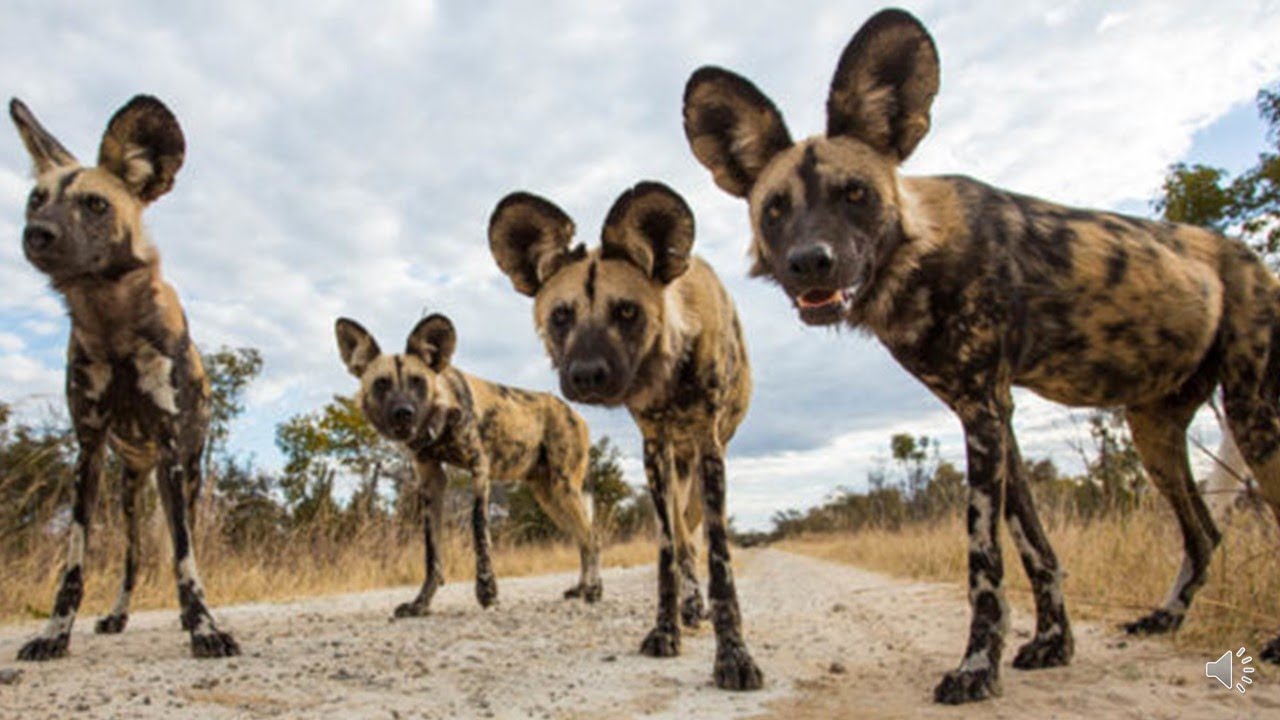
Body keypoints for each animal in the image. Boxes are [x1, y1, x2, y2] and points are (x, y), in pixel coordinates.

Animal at [11, 98, 240, 661]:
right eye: (36, 199)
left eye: (96, 205)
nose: (37, 234)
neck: (111, 321)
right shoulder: (89, 449)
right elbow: (75, 564)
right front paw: (54, 634)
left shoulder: (172, 448)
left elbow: (185, 558)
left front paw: (204, 627)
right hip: (130, 489)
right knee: (133, 559)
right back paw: (117, 615)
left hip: (184, 472)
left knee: (183, 542)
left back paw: (186, 616)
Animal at [335, 312, 604, 609]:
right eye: (382, 383)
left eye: (417, 382)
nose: (403, 412)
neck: (442, 416)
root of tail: (576, 413)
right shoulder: (431, 481)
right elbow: (432, 552)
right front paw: (421, 603)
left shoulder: (479, 468)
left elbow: (478, 530)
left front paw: (487, 590)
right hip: (550, 497)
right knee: (582, 539)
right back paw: (582, 589)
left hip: (564, 489)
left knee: (592, 538)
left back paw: (593, 591)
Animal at [481, 180, 757, 691]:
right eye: (561, 316)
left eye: (627, 311)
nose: (587, 375)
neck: (668, 369)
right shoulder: (655, 449)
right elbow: (667, 554)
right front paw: (666, 630)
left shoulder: (709, 446)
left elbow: (719, 559)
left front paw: (733, 655)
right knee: (683, 542)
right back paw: (689, 607)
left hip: (696, 466)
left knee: (695, 539)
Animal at [691, 5, 1280, 702]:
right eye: (776, 209)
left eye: (855, 194)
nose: (811, 263)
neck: (918, 259)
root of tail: (1250, 256)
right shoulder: (995, 416)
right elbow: (1035, 549)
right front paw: (1052, 644)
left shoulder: (983, 411)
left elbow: (985, 559)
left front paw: (977, 668)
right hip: (1153, 429)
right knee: (1204, 531)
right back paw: (1164, 618)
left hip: (1252, 413)